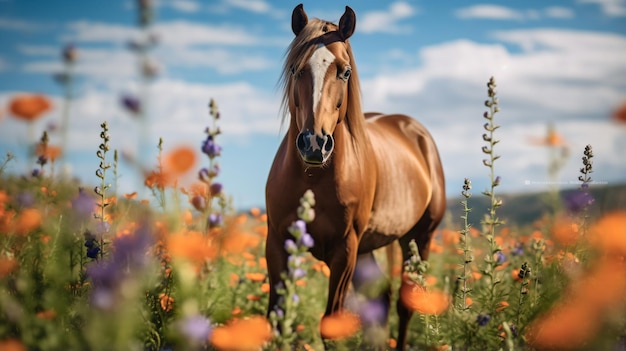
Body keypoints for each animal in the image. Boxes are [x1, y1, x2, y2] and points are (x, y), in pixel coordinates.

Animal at [264, 4, 444, 350]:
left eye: (345, 72)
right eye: (294, 69)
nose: (314, 143)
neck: (312, 179)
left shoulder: (345, 250)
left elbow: (330, 327)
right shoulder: (278, 243)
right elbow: (276, 323)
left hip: (418, 238)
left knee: (404, 306)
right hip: (368, 250)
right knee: (382, 301)